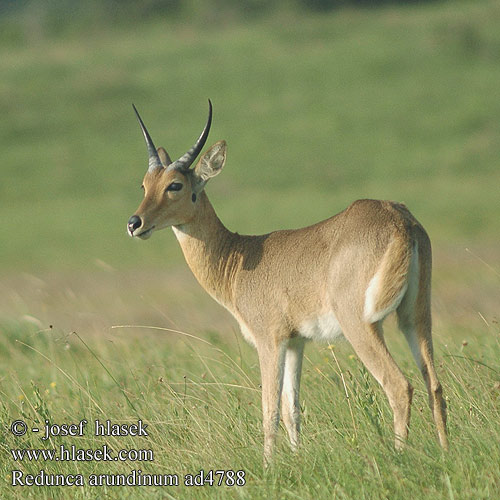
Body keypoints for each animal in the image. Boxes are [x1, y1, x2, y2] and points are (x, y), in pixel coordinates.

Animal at [128, 100, 450, 460]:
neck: (237, 260)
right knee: (434, 385)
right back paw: (446, 452)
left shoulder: (270, 341)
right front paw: (297, 458)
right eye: (144, 184)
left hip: (361, 324)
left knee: (399, 386)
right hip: (415, 317)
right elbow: (290, 409)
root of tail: (399, 220)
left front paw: (269, 465)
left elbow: (269, 410)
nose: (135, 223)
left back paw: (398, 456)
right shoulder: (296, 342)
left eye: (175, 185)